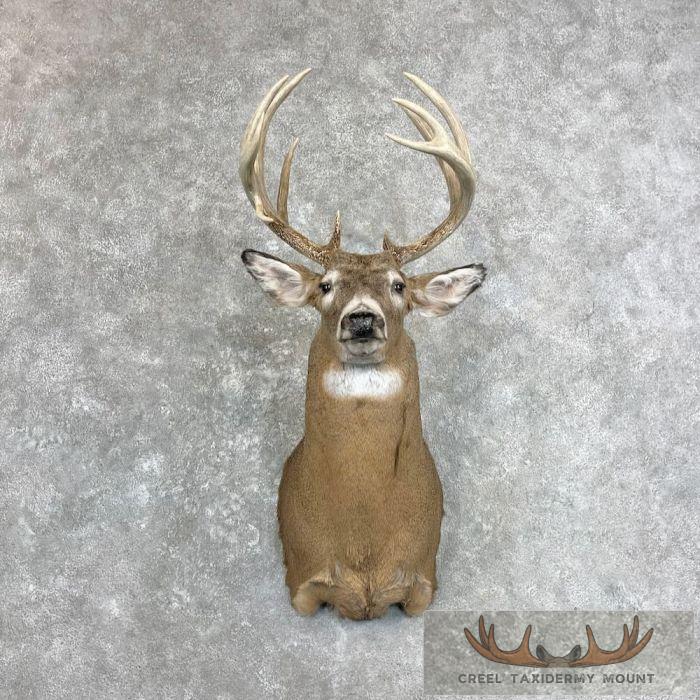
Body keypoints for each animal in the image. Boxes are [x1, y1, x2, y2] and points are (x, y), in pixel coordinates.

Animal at [239, 69, 485, 620]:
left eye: (398, 285)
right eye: (326, 285)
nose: (363, 319)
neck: (365, 546)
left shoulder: (424, 579)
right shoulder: (301, 580)